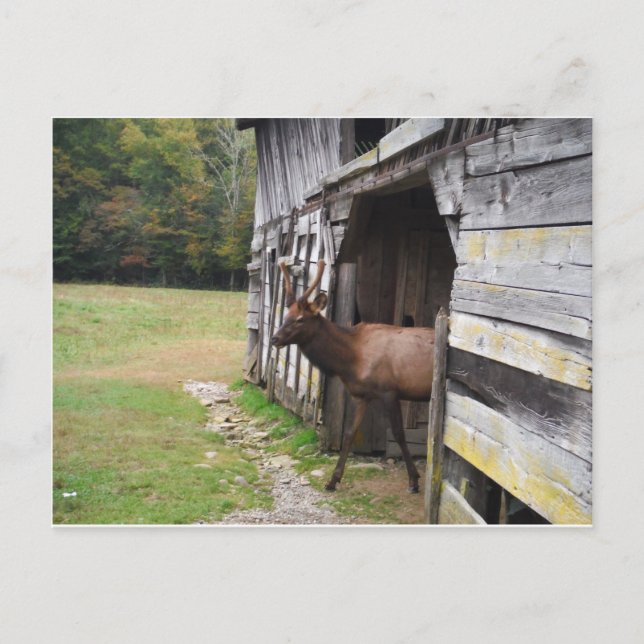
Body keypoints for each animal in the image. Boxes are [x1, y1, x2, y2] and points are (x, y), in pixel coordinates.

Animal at [271, 259, 435, 494]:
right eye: (286, 316)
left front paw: (413, 480)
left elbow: (399, 434)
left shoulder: (389, 390)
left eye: (300, 319)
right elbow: (349, 433)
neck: (351, 361)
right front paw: (332, 481)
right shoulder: (361, 395)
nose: (274, 339)